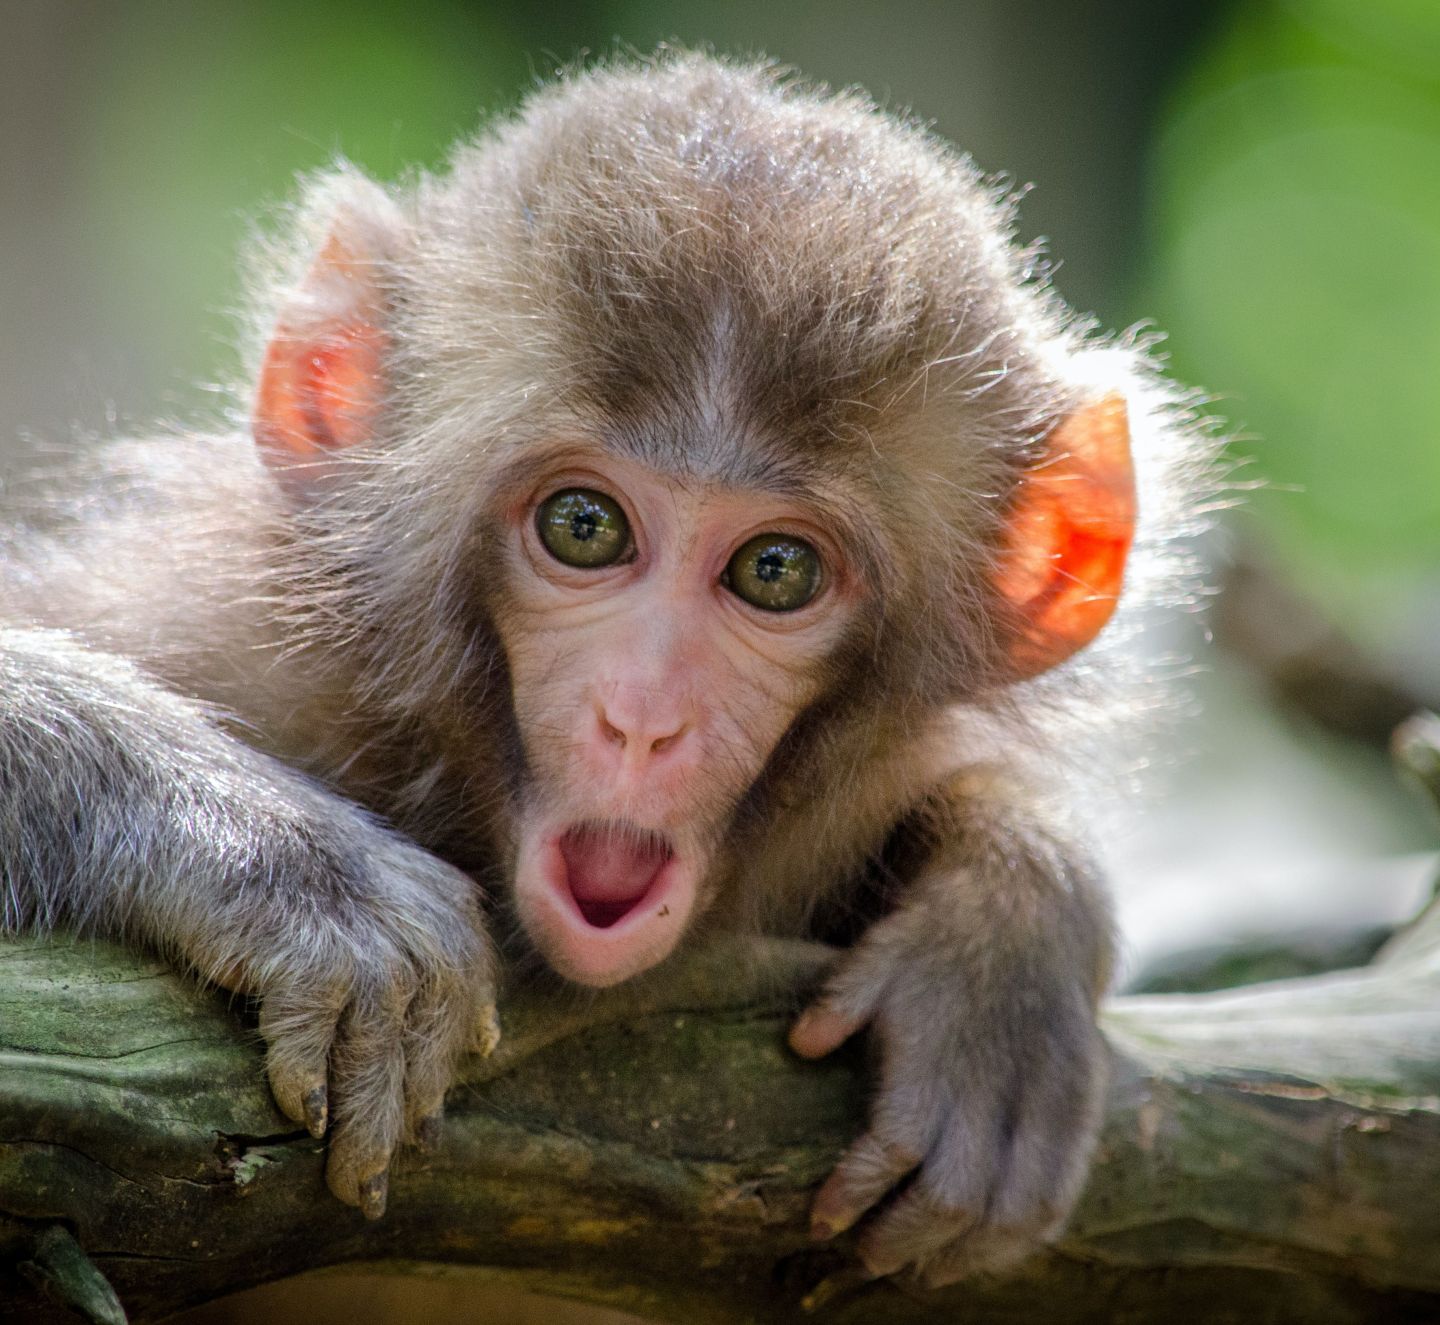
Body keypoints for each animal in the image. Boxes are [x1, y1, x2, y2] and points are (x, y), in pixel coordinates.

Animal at [0, 54, 1210, 1287]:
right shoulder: (203, 625)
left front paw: (1004, 937)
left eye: (776, 569)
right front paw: (283, 859)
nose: (643, 715)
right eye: (585, 527)